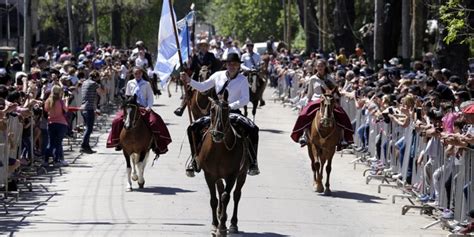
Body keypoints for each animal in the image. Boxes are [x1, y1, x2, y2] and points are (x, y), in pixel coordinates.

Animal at [196, 91, 248, 234]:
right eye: (212, 110)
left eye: (226, 110)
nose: (217, 134)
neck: (219, 150)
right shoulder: (209, 174)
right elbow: (214, 199)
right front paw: (215, 225)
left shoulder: (232, 175)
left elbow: (226, 197)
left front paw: (223, 227)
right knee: (220, 190)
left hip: (242, 174)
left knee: (236, 195)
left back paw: (233, 223)